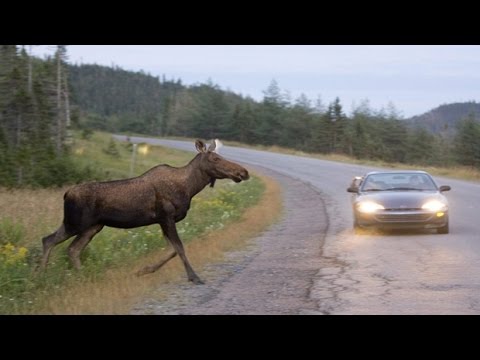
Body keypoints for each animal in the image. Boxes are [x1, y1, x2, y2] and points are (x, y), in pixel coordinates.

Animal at [39, 139, 249, 282]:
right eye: (215, 158)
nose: (243, 172)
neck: (189, 188)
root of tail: (66, 193)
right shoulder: (166, 216)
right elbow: (179, 248)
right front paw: (194, 276)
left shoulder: (162, 221)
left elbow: (171, 250)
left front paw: (143, 270)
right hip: (75, 222)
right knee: (49, 240)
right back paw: (41, 275)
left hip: (92, 226)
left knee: (72, 249)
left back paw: (79, 276)